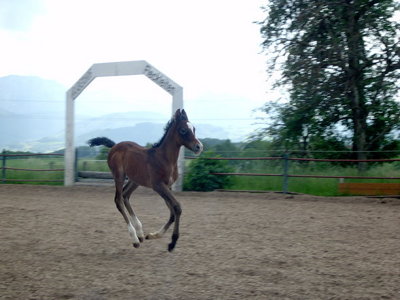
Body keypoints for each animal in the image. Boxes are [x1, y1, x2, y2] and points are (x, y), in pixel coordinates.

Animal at [87, 109, 200, 251]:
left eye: (194, 128)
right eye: (183, 130)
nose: (199, 146)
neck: (165, 159)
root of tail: (115, 146)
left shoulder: (167, 186)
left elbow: (172, 212)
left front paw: (153, 235)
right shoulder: (158, 185)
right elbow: (177, 207)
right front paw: (172, 242)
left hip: (135, 180)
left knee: (125, 195)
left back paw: (140, 233)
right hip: (119, 176)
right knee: (118, 200)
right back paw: (135, 238)